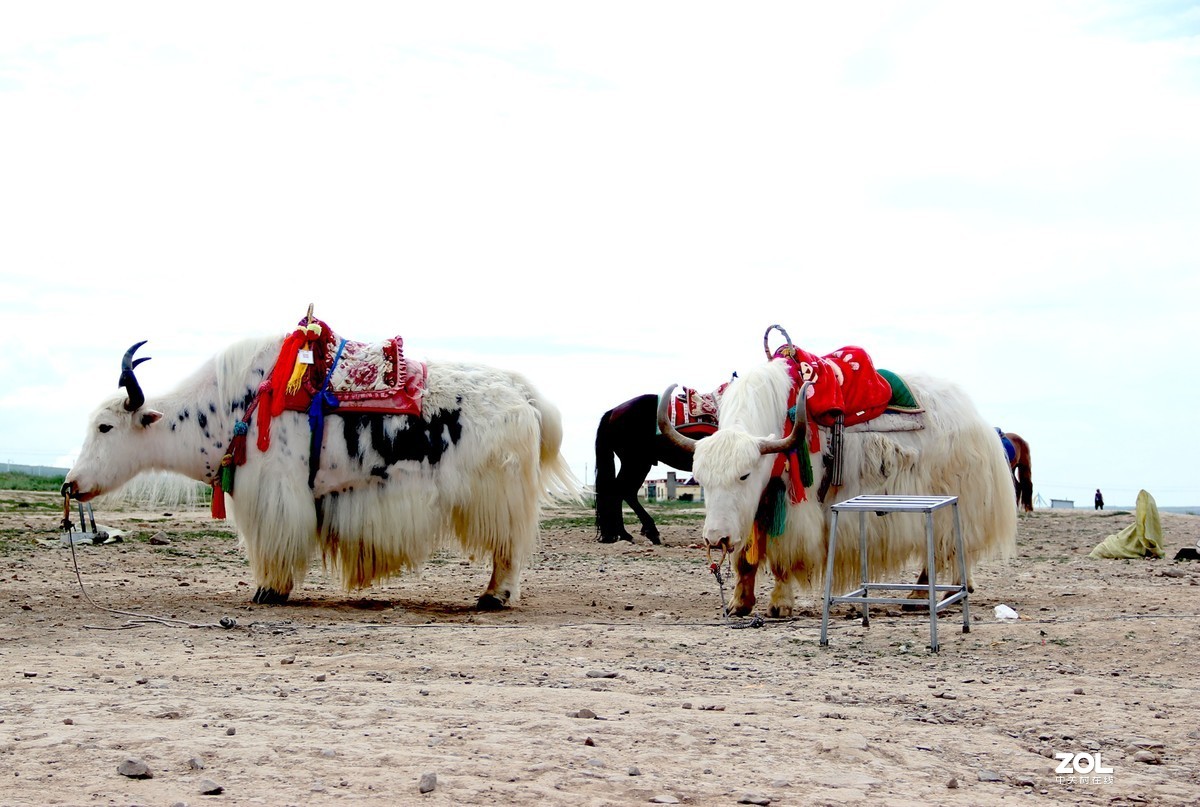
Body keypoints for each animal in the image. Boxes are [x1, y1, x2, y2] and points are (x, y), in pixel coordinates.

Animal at [595, 391, 715, 542]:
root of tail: (612, 412)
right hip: (636, 462)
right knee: (623, 491)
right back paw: (644, 532)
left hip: (637, 463)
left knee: (624, 492)